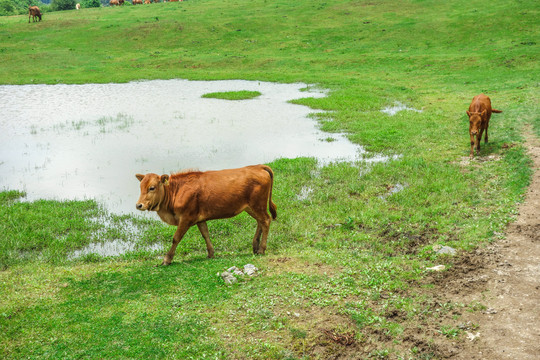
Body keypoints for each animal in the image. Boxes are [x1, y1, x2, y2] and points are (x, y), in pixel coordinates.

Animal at [135, 165, 278, 266]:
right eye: (140, 187)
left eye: (152, 187)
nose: (139, 205)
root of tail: (258, 166)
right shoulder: (199, 218)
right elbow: (205, 234)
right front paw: (211, 253)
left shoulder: (186, 218)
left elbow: (176, 238)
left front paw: (167, 259)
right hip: (252, 207)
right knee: (260, 222)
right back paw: (255, 246)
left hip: (257, 205)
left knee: (266, 220)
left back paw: (261, 249)